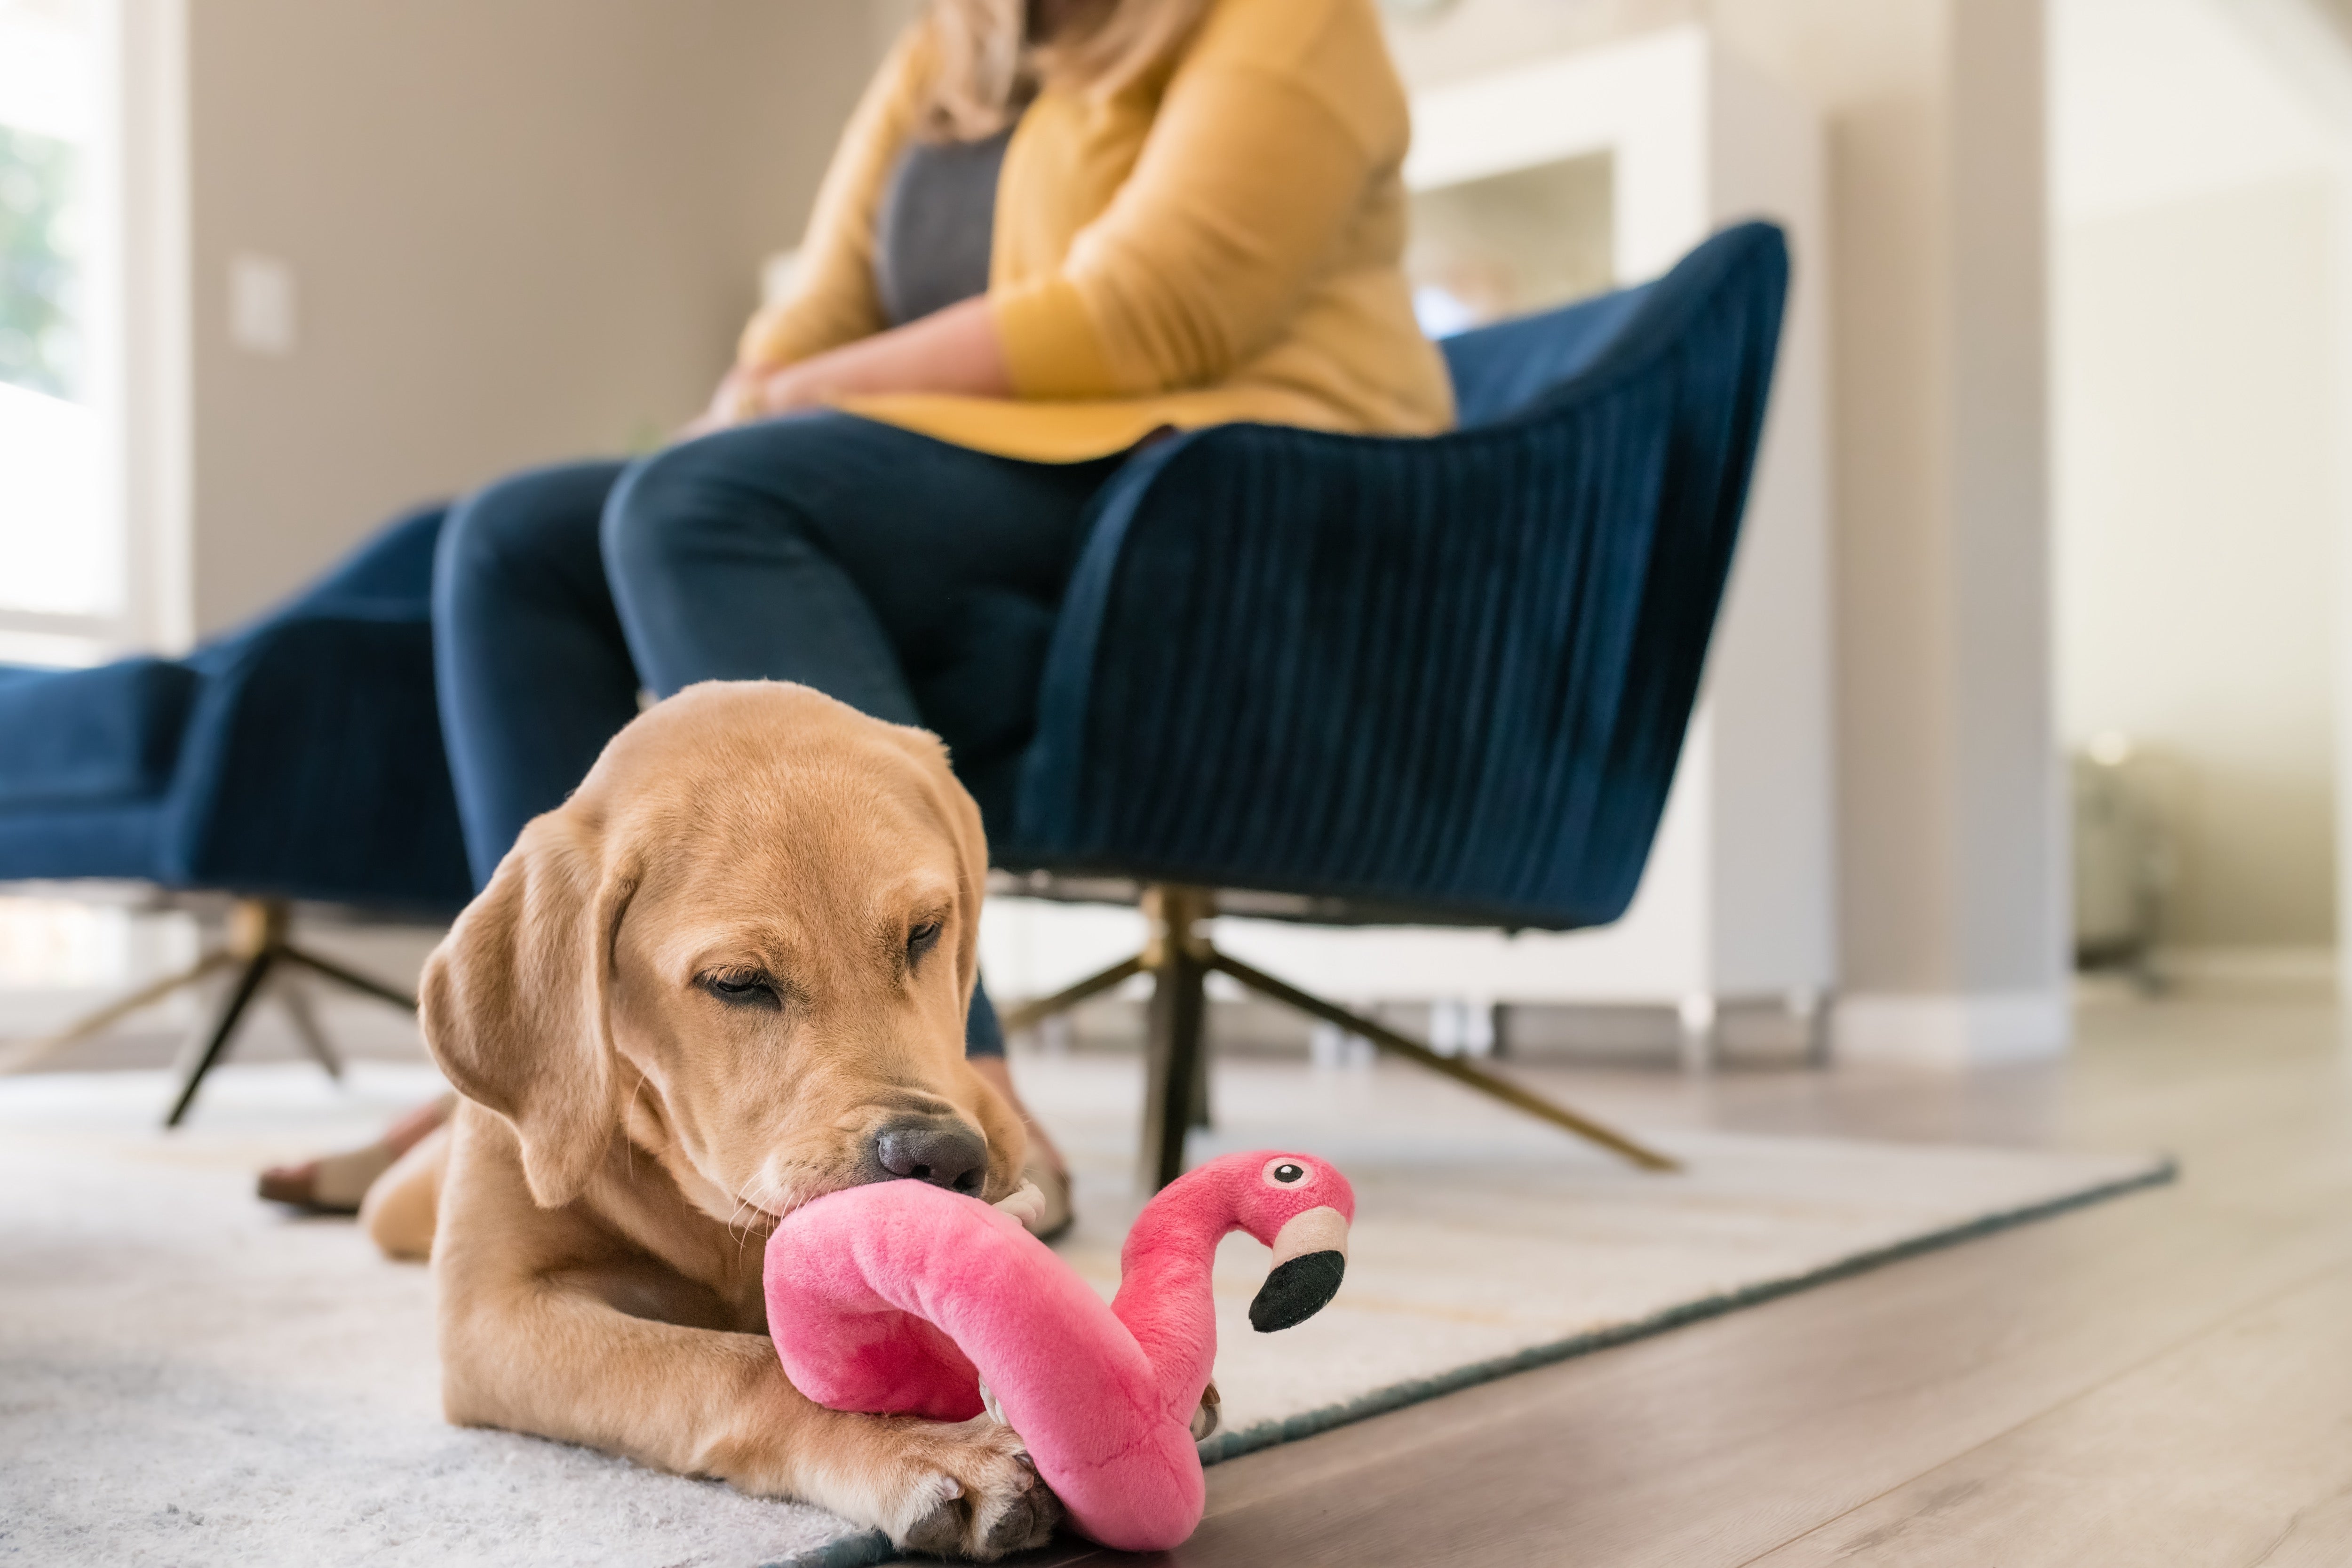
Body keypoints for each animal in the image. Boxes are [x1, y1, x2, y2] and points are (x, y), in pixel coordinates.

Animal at [362, 682, 1063, 1561]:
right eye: (737, 982)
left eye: (926, 931)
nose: (942, 1159)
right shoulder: (490, 1316)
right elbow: (737, 1366)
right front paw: (919, 1445)